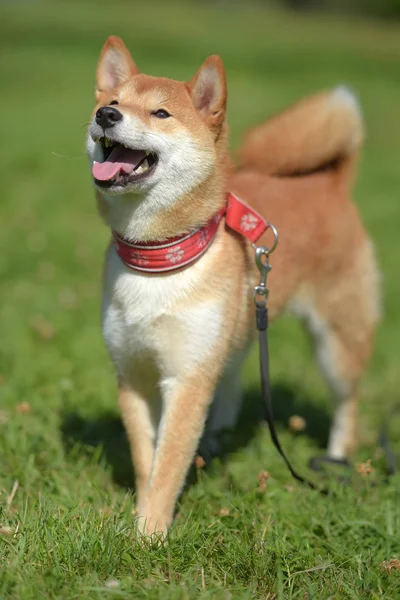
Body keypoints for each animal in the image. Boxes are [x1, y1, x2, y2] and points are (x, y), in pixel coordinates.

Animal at [86, 35, 380, 536]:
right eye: (114, 102)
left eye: (160, 113)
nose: (106, 116)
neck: (160, 260)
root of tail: (331, 183)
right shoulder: (133, 374)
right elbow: (147, 459)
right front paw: (142, 513)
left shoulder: (185, 377)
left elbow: (168, 462)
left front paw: (150, 533)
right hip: (239, 328)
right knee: (234, 377)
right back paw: (220, 433)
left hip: (336, 344)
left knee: (348, 403)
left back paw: (337, 458)